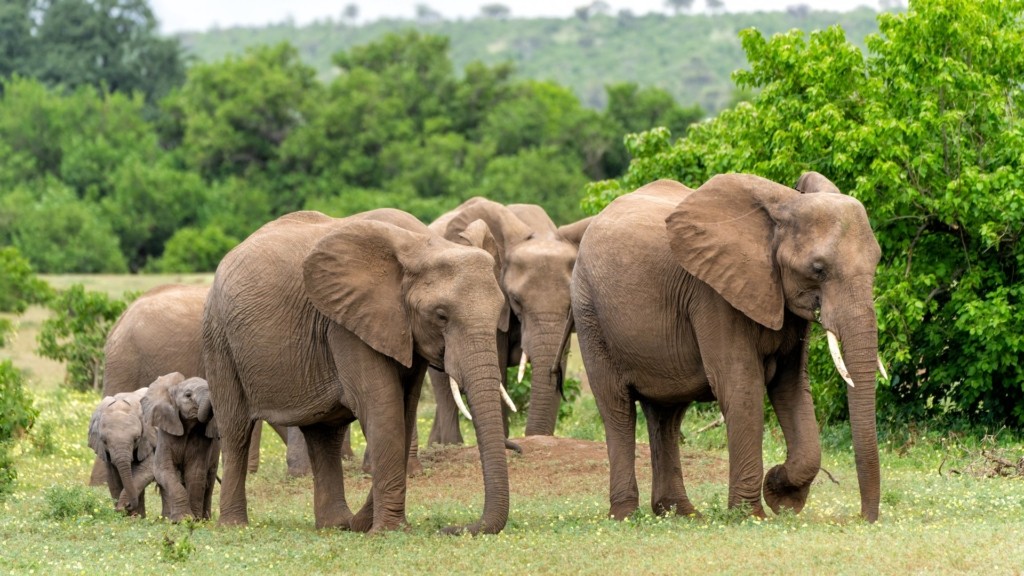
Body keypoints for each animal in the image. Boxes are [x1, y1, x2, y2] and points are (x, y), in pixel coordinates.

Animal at [142, 372, 219, 522]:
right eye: (188, 395)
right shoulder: (166, 432)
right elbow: (164, 469)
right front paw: (183, 519)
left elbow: (195, 472)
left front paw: (194, 519)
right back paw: (167, 518)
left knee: (209, 481)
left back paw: (205, 519)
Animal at [202, 208, 511, 534]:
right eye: (441, 316)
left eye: (499, 309)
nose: (449, 528)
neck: (422, 244)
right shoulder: (347, 324)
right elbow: (382, 408)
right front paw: (389, 532)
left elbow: (404, 411)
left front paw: (373, 525)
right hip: (218, 337)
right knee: (236, 430)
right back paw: (233, 526)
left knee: (324, 435)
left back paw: (335, 524)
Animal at [569, 173, 883, 522]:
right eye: (818, 268)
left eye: (877, 261)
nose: (864, 518)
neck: (783, 205)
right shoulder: (713, 293)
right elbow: (741, 384)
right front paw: (752, 515)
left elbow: (790, 386)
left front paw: (781, 495)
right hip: (589, 312)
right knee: (617, 408)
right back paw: (626, 515)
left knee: (666, 415)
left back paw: (682, 513)